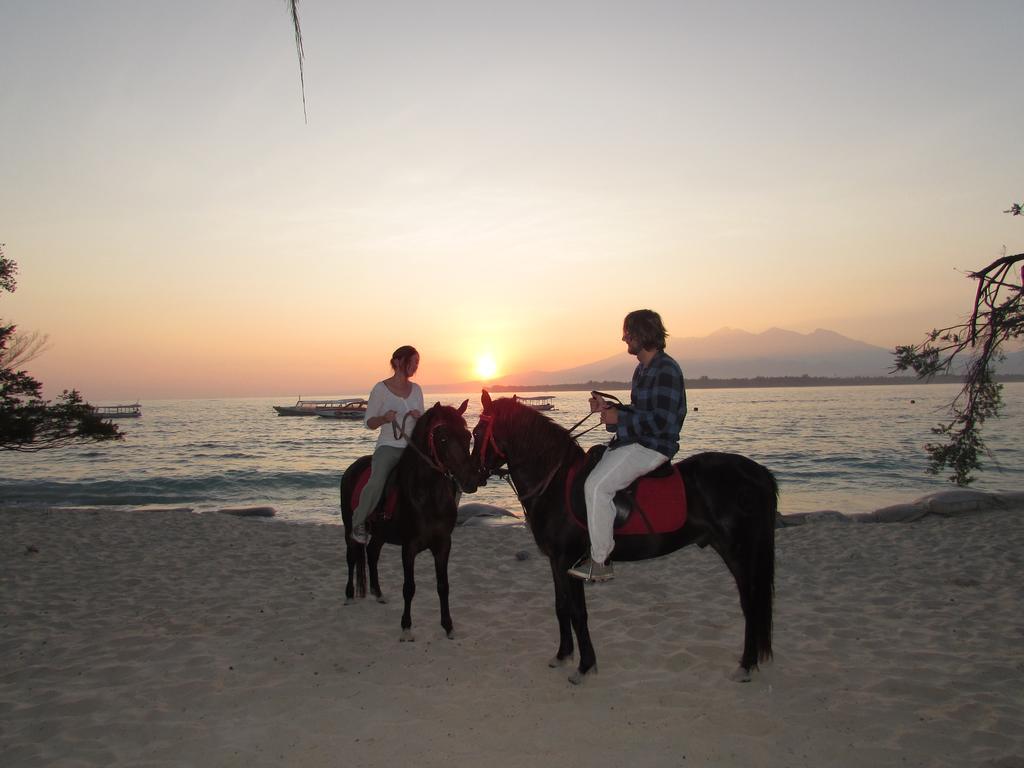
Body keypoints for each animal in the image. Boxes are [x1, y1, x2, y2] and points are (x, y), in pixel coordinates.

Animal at [337, 403, 477, 643]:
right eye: (442, 438)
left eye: (468, 436)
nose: (471, 481)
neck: (427, 496)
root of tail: (351, 469)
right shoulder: (408, 548)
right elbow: (409, 587)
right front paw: (406, 627)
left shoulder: (443, 545)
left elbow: (443, 586)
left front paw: (448, 626)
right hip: (349, 528)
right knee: (352, 556)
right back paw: (349, 595)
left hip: (380, 533)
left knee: (372, 553)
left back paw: (378, 593)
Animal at [471, 393, 774, 684]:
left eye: (476, 432)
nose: (471, 478)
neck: (554, 482)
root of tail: (756, 473)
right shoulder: (555, 561)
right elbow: (561, 607)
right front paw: (563, 654)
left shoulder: (569, 561)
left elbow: (578, 613)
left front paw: (585, 666)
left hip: (738, 552)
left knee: (750, 603)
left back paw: (746, 666)